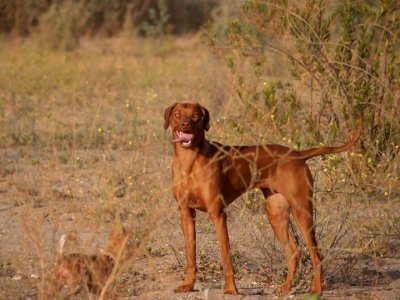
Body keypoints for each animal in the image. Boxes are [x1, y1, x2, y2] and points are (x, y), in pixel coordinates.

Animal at [162, 102, 362, 294]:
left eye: (195, 115)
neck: (189, 161)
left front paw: (231, 290)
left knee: (316, 254)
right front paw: (188, 285)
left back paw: (316, 290)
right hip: (275, 214)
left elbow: (226, 256)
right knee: (293, 252)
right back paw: (285, 287)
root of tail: (298, 155)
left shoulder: (218, 214)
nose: (185, 124)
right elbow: (190, 255)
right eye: (177, 115)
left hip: (302, 211)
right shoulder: (186, 213)